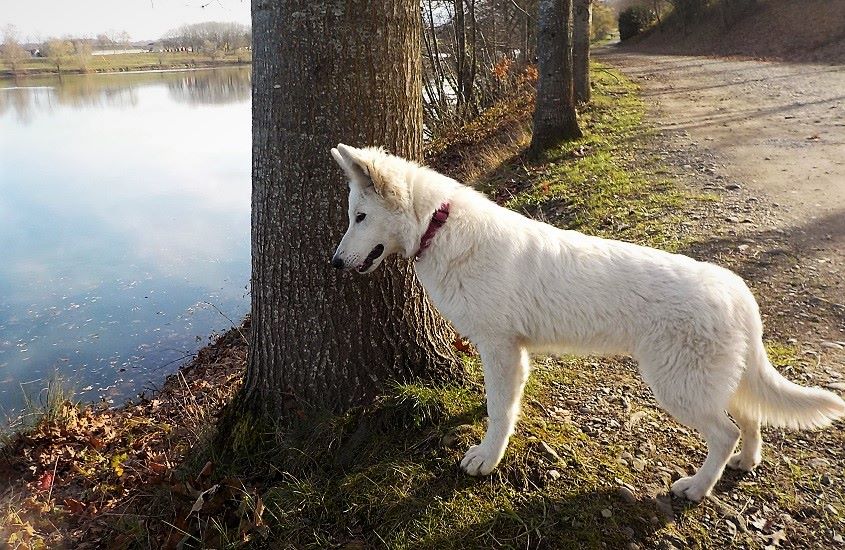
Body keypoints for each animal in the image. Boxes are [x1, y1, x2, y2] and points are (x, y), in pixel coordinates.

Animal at [330, 143, 844, 504]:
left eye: (360, 217)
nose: (334, 263)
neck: (438, 227)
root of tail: (738, 290)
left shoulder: (499, 345)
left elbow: (499, 409)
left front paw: (486, 458)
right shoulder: (512, 352)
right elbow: (505, 401)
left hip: (679, 384)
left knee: (726, 431)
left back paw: (697, 488)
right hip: (714, 379)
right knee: (751, 417)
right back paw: (746, 462)